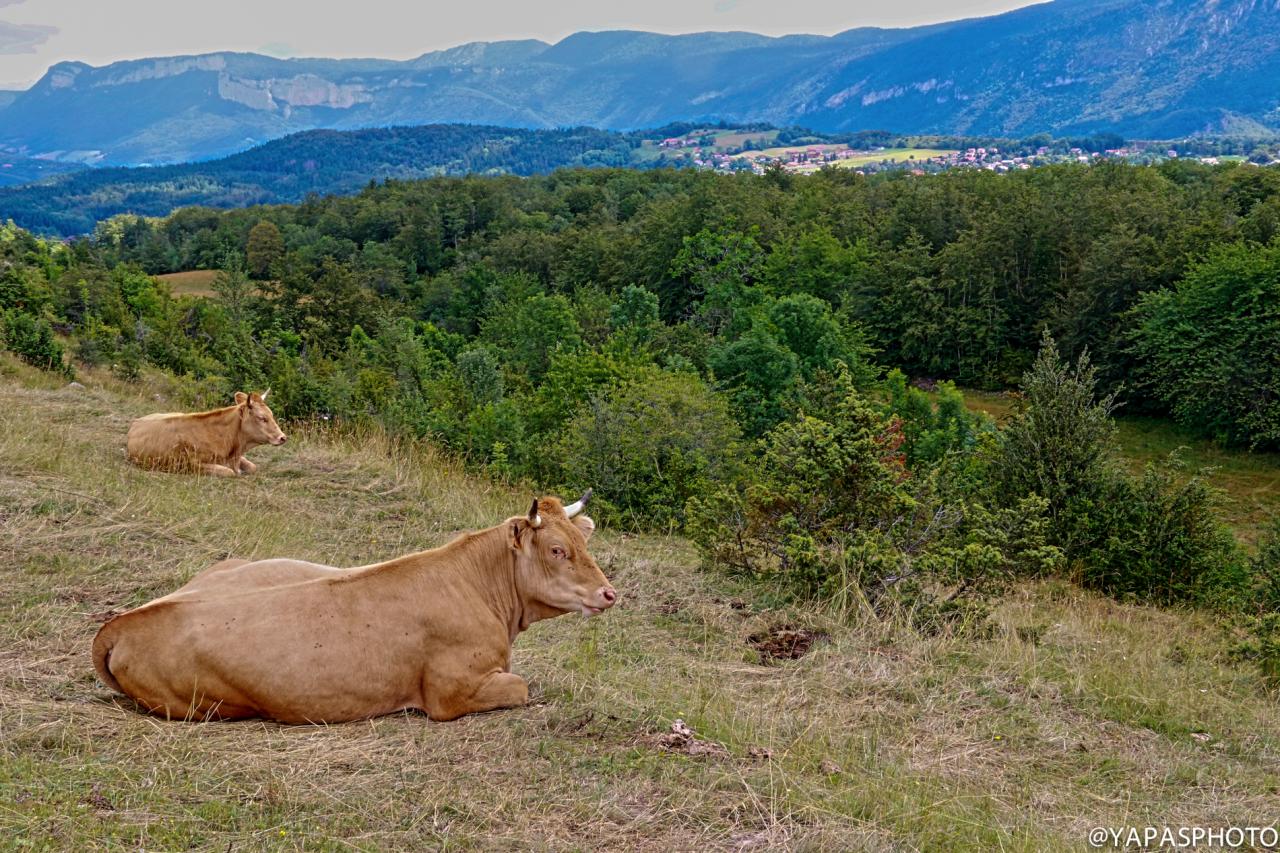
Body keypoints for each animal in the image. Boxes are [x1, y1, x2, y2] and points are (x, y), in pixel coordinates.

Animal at [91, 489, 614, 722]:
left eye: (583, 542)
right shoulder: (450, 695)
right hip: (206, 704)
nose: (609, 593)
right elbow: (521, 687)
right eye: (557, 550)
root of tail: (119, 624)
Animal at [125, 389, 285, 473]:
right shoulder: (192, 464)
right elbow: (228, 472)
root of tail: (136, 422)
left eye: (272, 415)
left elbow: (252, 467)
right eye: (262, 418)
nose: (282, 437)